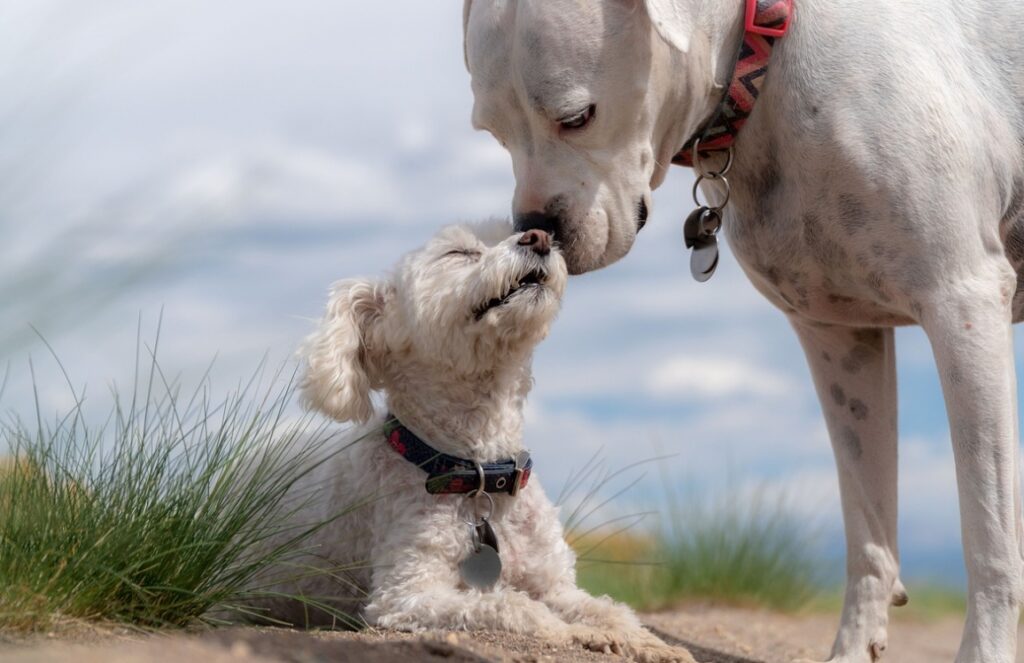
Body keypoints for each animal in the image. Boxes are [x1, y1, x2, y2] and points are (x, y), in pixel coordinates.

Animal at [252, 221, 692, 663]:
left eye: (513, 230)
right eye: (459, 254)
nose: (539, 236)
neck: (478, 473)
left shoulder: (555, 584)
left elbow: (610, 610)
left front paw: (650, 643)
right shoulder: (406, 595)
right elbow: (514, 606)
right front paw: (572, 632)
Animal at [468, 1, 1024, 663]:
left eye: (577, 118)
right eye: (492, 132)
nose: (534, 230)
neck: (766, 55)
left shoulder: (963, 302)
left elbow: (989, 530)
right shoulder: (840, 338)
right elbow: (868, 526)